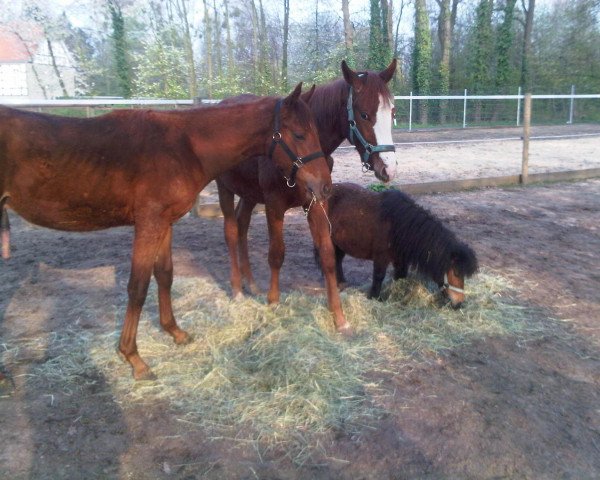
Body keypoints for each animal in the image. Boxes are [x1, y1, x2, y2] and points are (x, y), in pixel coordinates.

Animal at [0, 84, 330, 380]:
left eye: (316, 131)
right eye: (299, 134)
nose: (324, 186)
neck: (184, 146)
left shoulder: (164, 223)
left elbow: (165, 276)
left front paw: (175, 332)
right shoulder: (149, 224)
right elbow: (138, 287)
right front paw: (133, 358)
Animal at [216, 58, 398, 332]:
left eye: (393, 112)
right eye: (364, 114)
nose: (388, 168)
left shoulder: (317, 202)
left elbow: (327, 254)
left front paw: (339, 317)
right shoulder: (274, 205)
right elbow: (276, 254)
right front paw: (273, 301)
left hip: (249, 194)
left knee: (242, 225)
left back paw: (252, 284)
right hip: (224, 187)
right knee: (230, 230)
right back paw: (238, 289)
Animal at [324, 184, 478, 308]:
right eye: (456, 273)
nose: (459, 304)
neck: (397, 225)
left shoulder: (401, 260)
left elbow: (400, 277)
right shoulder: (381, 258)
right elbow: (378, 277)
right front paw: (374, 297)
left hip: (339, 244)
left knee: (338, 260)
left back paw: (342, 283)